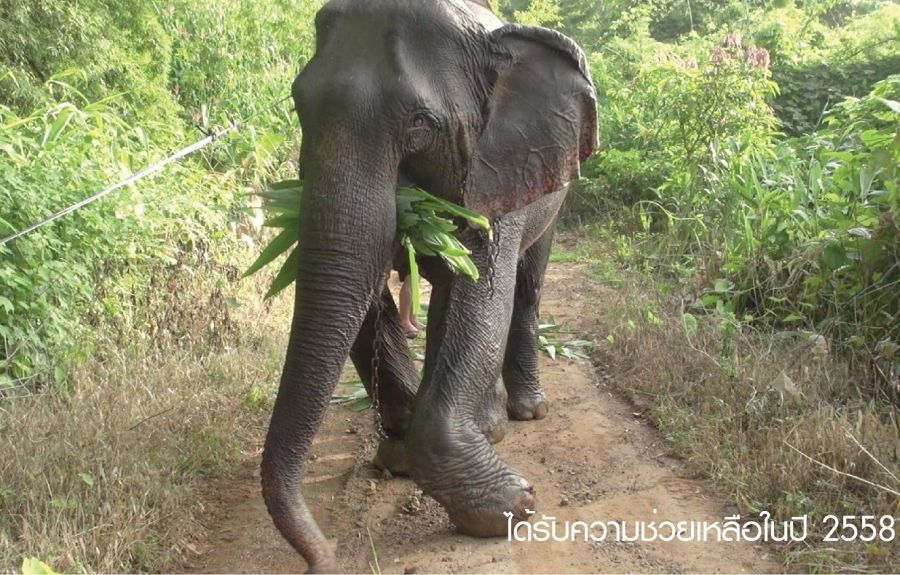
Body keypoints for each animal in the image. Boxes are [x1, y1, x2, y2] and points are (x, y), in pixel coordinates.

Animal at [260, 0, 597, 571]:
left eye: (420, 123)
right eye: (300, 107)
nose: (322, 559)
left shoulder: (497, 165)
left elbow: (477, 293)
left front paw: (511, 508)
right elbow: (369, 298)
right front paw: (397, 455)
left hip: (556, 186)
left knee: (526, 288)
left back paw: (525, 412)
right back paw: (489, 425)